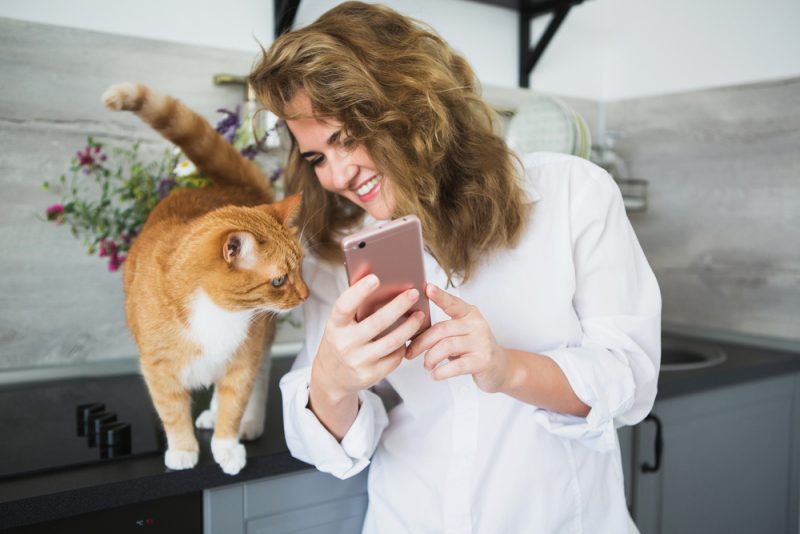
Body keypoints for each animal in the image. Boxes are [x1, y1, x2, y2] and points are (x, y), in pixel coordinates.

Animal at [101, 81, 308, 476]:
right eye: (279, 280)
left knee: (258, 379)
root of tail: (237, 191)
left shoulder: (243, 358)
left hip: (261, 339)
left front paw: (227, 446)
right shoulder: (158, 366)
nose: (305, 295)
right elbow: (171, 410)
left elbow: (234, 401)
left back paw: (248, 423)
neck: (218, 312)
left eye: (302, 266)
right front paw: (183, 449)